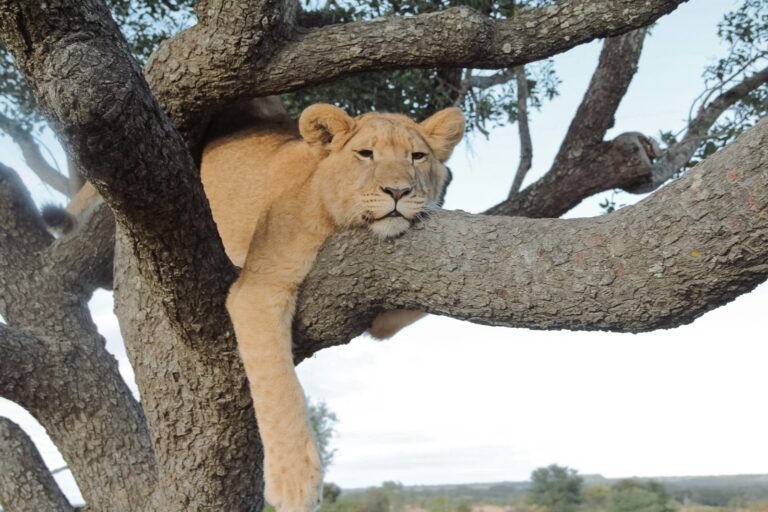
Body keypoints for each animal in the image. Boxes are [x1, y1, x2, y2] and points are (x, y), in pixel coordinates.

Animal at [52, 101, 468, 512]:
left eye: (417, 156)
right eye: (365, 154)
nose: (398, 191)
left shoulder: (381, 317)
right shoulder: (259, 286)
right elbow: (278, 385)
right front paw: (294, 480)